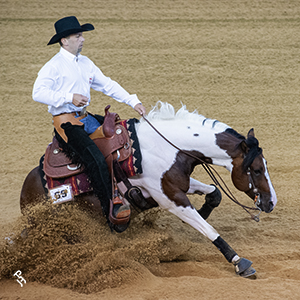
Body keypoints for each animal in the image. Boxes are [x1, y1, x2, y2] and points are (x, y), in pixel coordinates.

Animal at [19, 101, 276, 278]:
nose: (271, 202)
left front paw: (201, 212)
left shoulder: (177, 185)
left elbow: (214, 193)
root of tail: (26, 191)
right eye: (256, 170)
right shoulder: (171, 199)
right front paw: (239, 262)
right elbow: (208, 229)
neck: (169, 146)